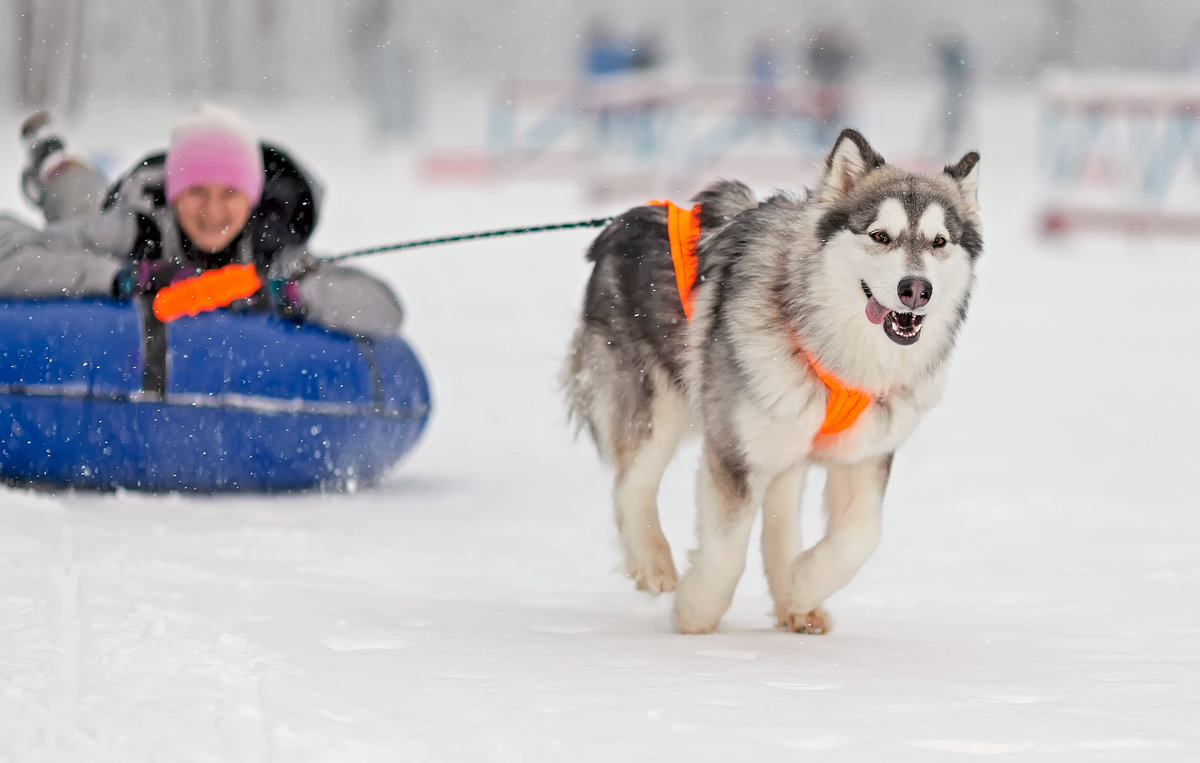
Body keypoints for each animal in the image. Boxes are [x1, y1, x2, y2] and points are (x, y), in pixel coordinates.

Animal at [566, 129, 979, 633]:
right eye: (880, 236)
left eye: (939, 241)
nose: (916, 290)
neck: (836, 355)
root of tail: (624, 220)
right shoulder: (735, 451)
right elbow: (726, 554)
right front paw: (695, 614)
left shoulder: (866, 453)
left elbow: (862, 535)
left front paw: (802, 585)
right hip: (659, 406)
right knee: (631, 485)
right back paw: (654, 564)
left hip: (785, 436)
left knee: (779, 520)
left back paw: (793, 603)